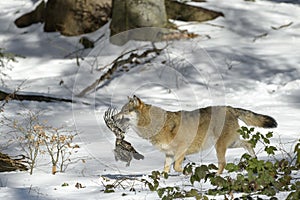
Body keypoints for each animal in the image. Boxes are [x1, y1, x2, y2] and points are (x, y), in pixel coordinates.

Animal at [112, 95, 276, 173]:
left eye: (124, 111)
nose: (113, 117)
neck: (156, 125)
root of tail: (229, 108)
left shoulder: (181, 150)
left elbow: (177, 167)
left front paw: (188, 173)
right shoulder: (169, 154)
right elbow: (165, 170)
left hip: (220, 146)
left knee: (223, 163)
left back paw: (216, 177)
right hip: (231, 143)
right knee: (248, 143)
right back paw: (254, 160)